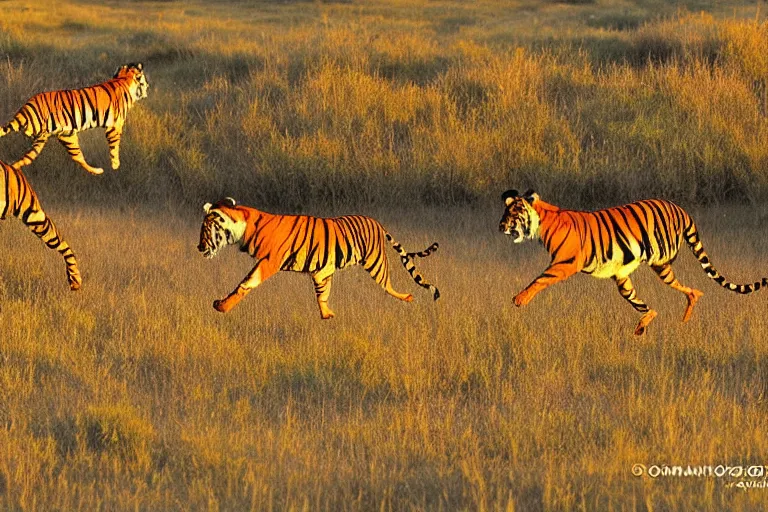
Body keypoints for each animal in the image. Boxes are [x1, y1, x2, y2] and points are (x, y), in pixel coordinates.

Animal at [0, 62, 148, 175]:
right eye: (145, 82)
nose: (148, 87)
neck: (123, 78)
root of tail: (24, 111)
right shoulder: (114, 125)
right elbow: (114, 145)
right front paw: (116, 165)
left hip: (60, 137)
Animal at [195, 198, 440, 318]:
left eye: (206, 229)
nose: (198, 247)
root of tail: (377, 223)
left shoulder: (269, 262)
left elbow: (247, 282)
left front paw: (222, 307)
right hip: (328, 270)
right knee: (324, 292)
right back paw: (327, 314)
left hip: (376, 262)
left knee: (388, 285)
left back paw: (407, 297)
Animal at [500, 188, 764, 336]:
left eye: (513, 212)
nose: (500, 226)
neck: (542, 220)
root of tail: (681, 209)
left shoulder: (565, 263)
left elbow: (539, 279)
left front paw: (519, 299)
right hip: (629, 277)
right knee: (659, 299)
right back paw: (653, 321)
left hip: (659, 257)